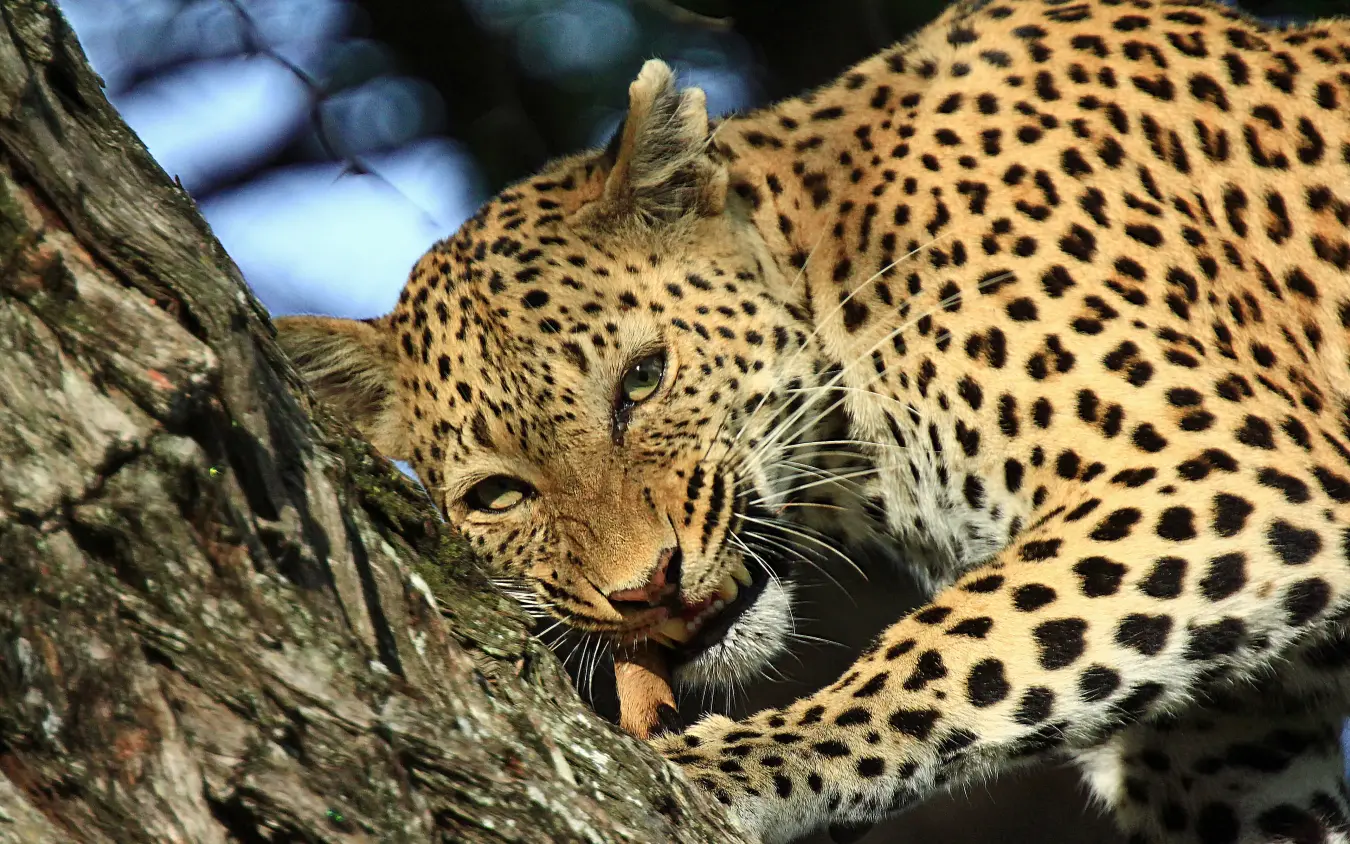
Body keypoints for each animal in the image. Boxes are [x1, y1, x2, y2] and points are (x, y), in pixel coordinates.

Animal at [275, 0, 1350, 841]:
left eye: (642, 380)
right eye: (499, 495)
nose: (645, 589)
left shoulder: (1223, 466)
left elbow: (948, 654)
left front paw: (735, 766)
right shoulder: (1229, 747)